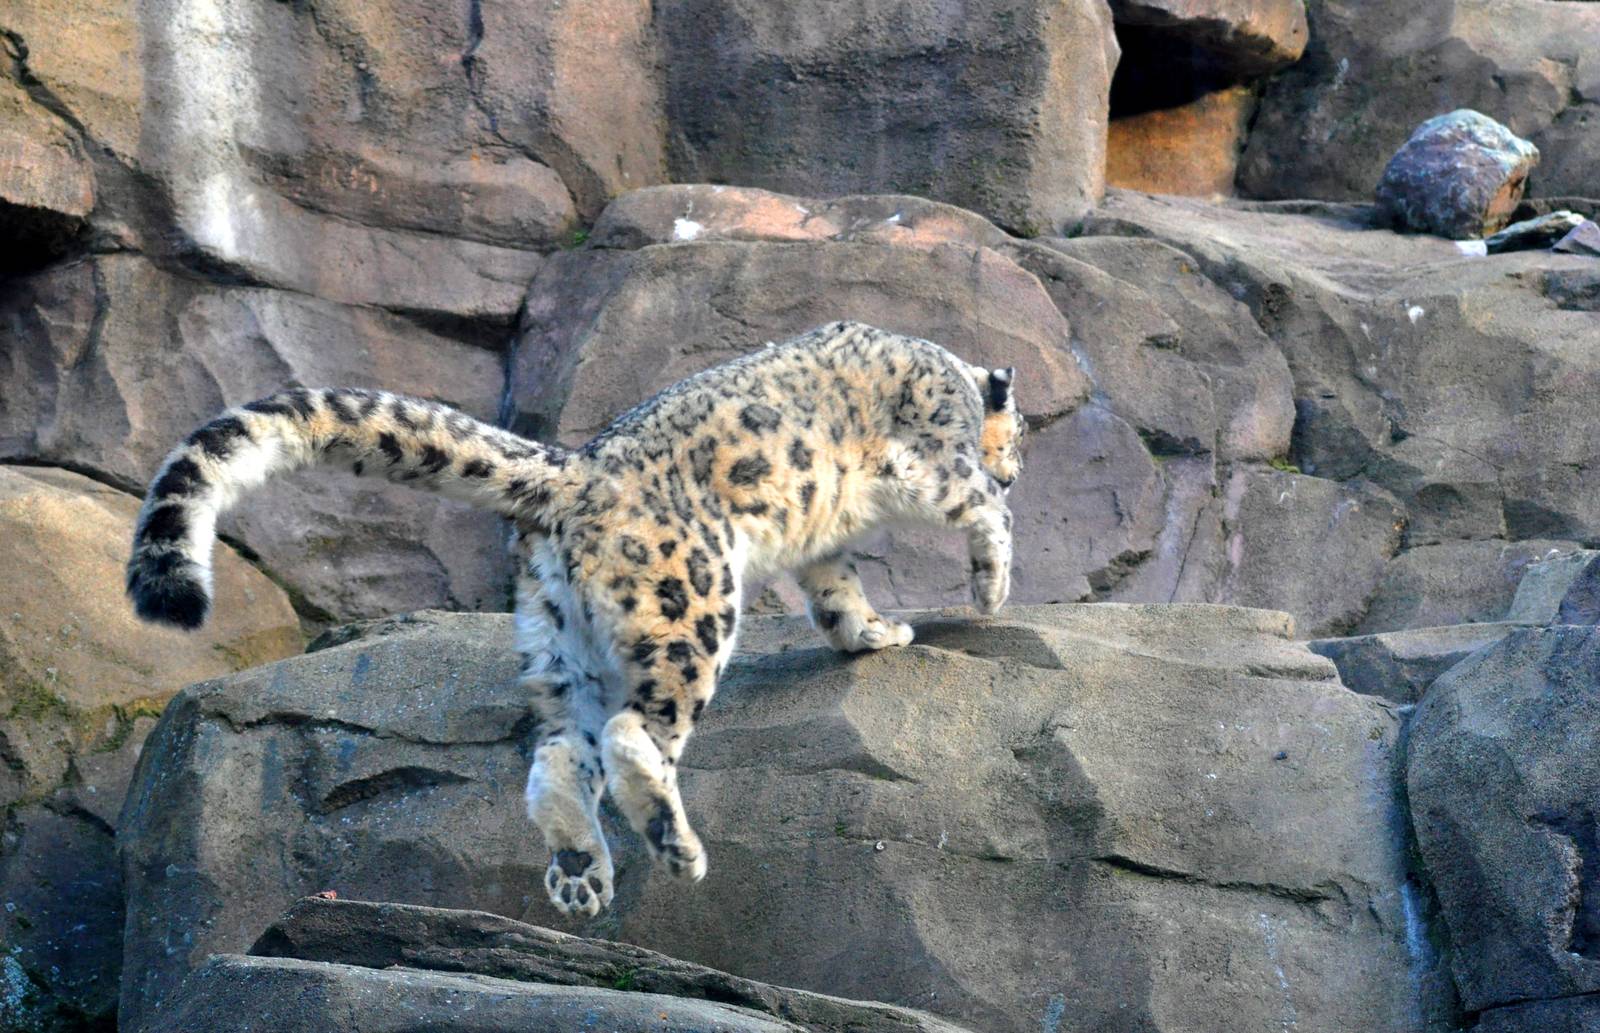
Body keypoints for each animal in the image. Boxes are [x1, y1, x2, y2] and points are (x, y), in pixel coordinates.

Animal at [126, 320, 1024, 917]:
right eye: (1019, 435)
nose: (1016, 465)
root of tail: (572, 470)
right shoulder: (931, 454)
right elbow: (974, 502)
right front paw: (990, 585)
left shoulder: (825, 550)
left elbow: (837, 591)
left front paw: (877, 631)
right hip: (691, 605)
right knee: (635, 733)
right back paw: (673, 844)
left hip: (562, 642)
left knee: (558, 754)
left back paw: (580, 873)